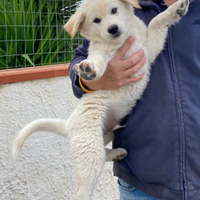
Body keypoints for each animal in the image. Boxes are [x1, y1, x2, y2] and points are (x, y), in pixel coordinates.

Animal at [12, 0, 189, 199]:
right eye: (96, 20)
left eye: (114, 10)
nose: (113, 29)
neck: (120, 41)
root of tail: (68, 124)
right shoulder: (101, 52)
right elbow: (97, 60)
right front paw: (88, 70)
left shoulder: (148, 50)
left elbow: (156, 22)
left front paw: (175, 10)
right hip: (90, 148)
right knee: (83, 187)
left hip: (106, 134)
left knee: (104, 152)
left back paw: (116, 153)